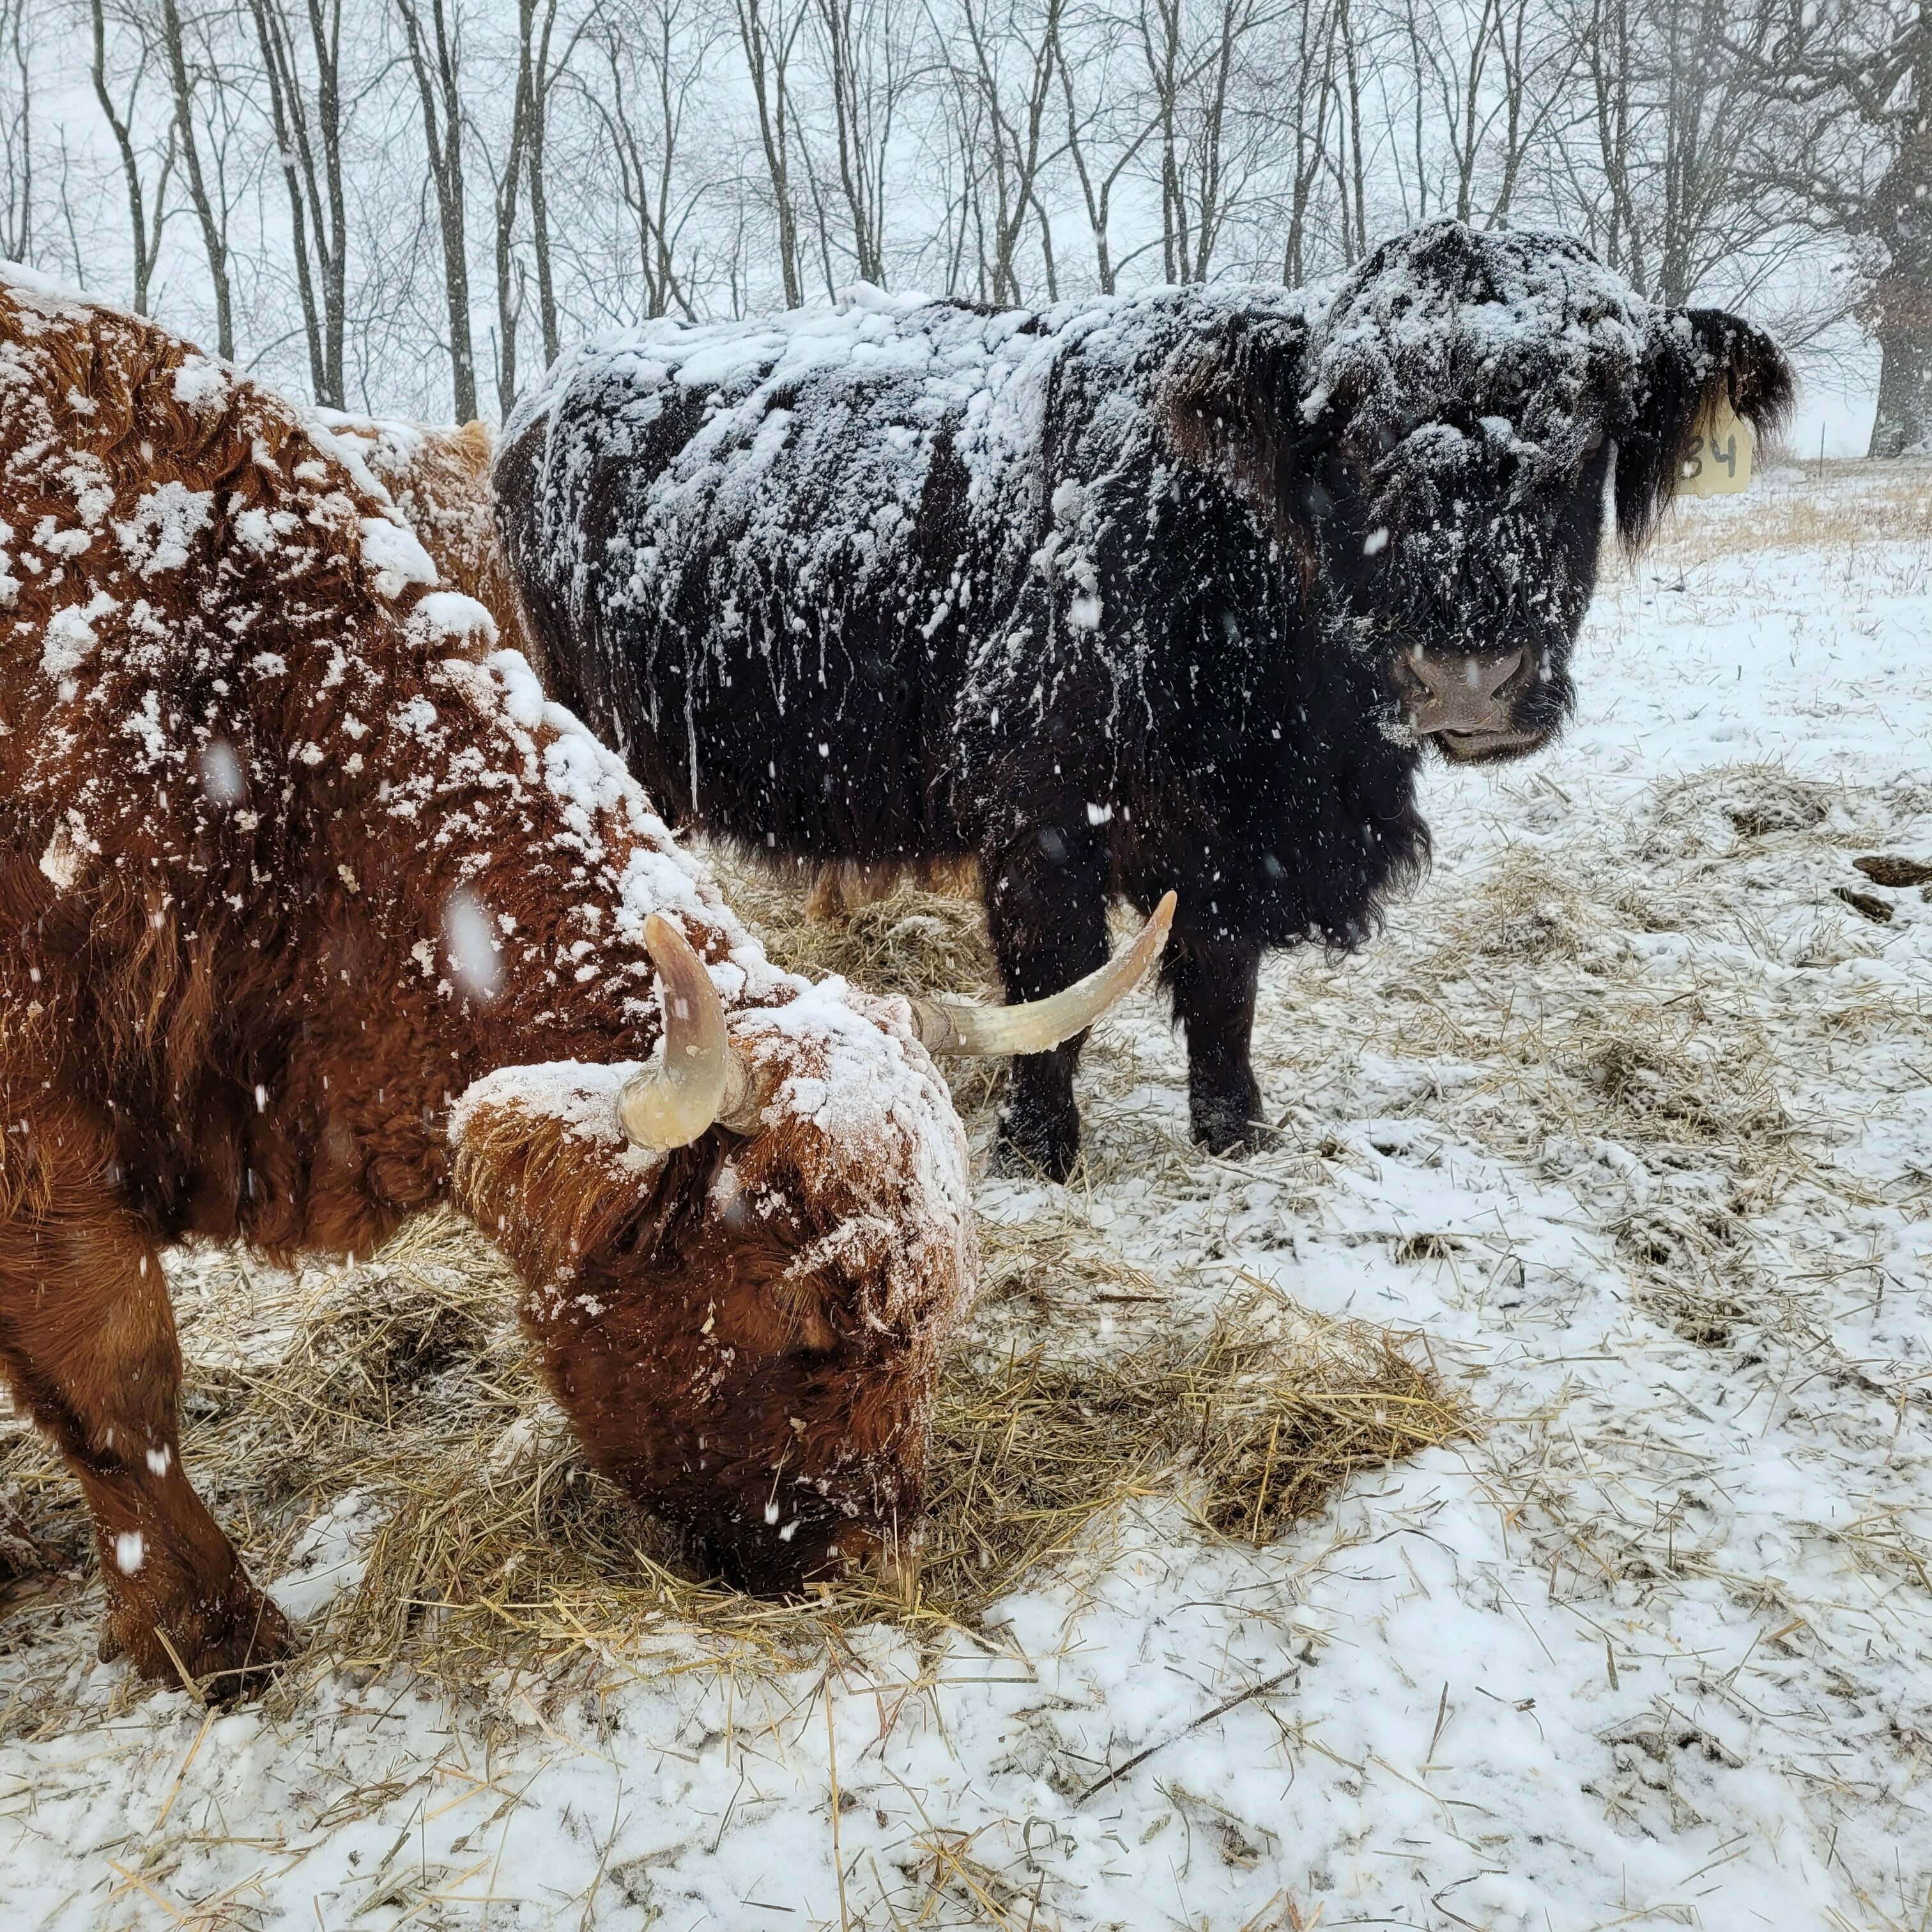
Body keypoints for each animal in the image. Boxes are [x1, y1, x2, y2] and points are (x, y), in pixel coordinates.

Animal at [498, 219, 1793, 1167]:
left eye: (1589, 432)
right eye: (1349, 434)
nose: (1466, 676)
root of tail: (546, 393)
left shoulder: (1239, 833)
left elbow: (1223, 984)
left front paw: (1233, 1126)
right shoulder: (1035, 803)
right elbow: (1052, 980)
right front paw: (1037, 1145)